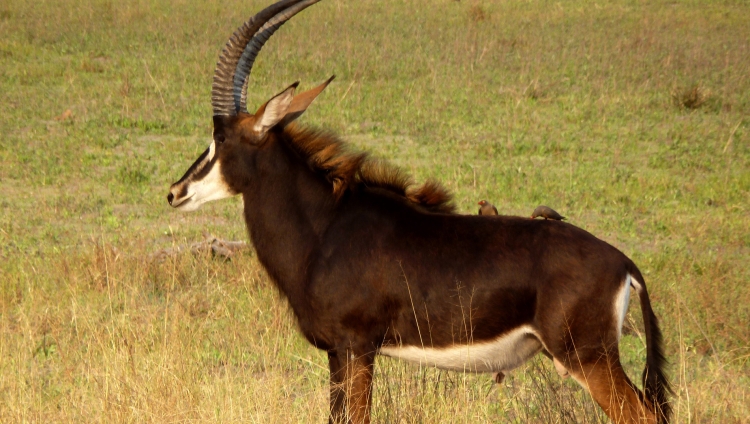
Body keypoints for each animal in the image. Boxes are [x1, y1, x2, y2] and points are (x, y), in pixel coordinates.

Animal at [167, 1, 672, 422]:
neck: (325, 229)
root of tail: (625, 264)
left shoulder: (357, 348)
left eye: (221, 139)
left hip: (588, 359)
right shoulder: (337, 354)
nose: (175, 192)